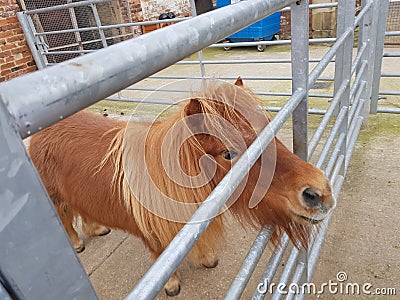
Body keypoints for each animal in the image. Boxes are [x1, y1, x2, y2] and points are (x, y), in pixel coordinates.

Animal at [28, 78, 334, 296]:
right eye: (228, 153)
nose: (318, 192)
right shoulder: (150, 233)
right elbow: (160, 254)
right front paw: (172, 284)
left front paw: (206, 259)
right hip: (55, 199)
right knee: (65, 219)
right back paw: (78, 243)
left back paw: (96, 229)